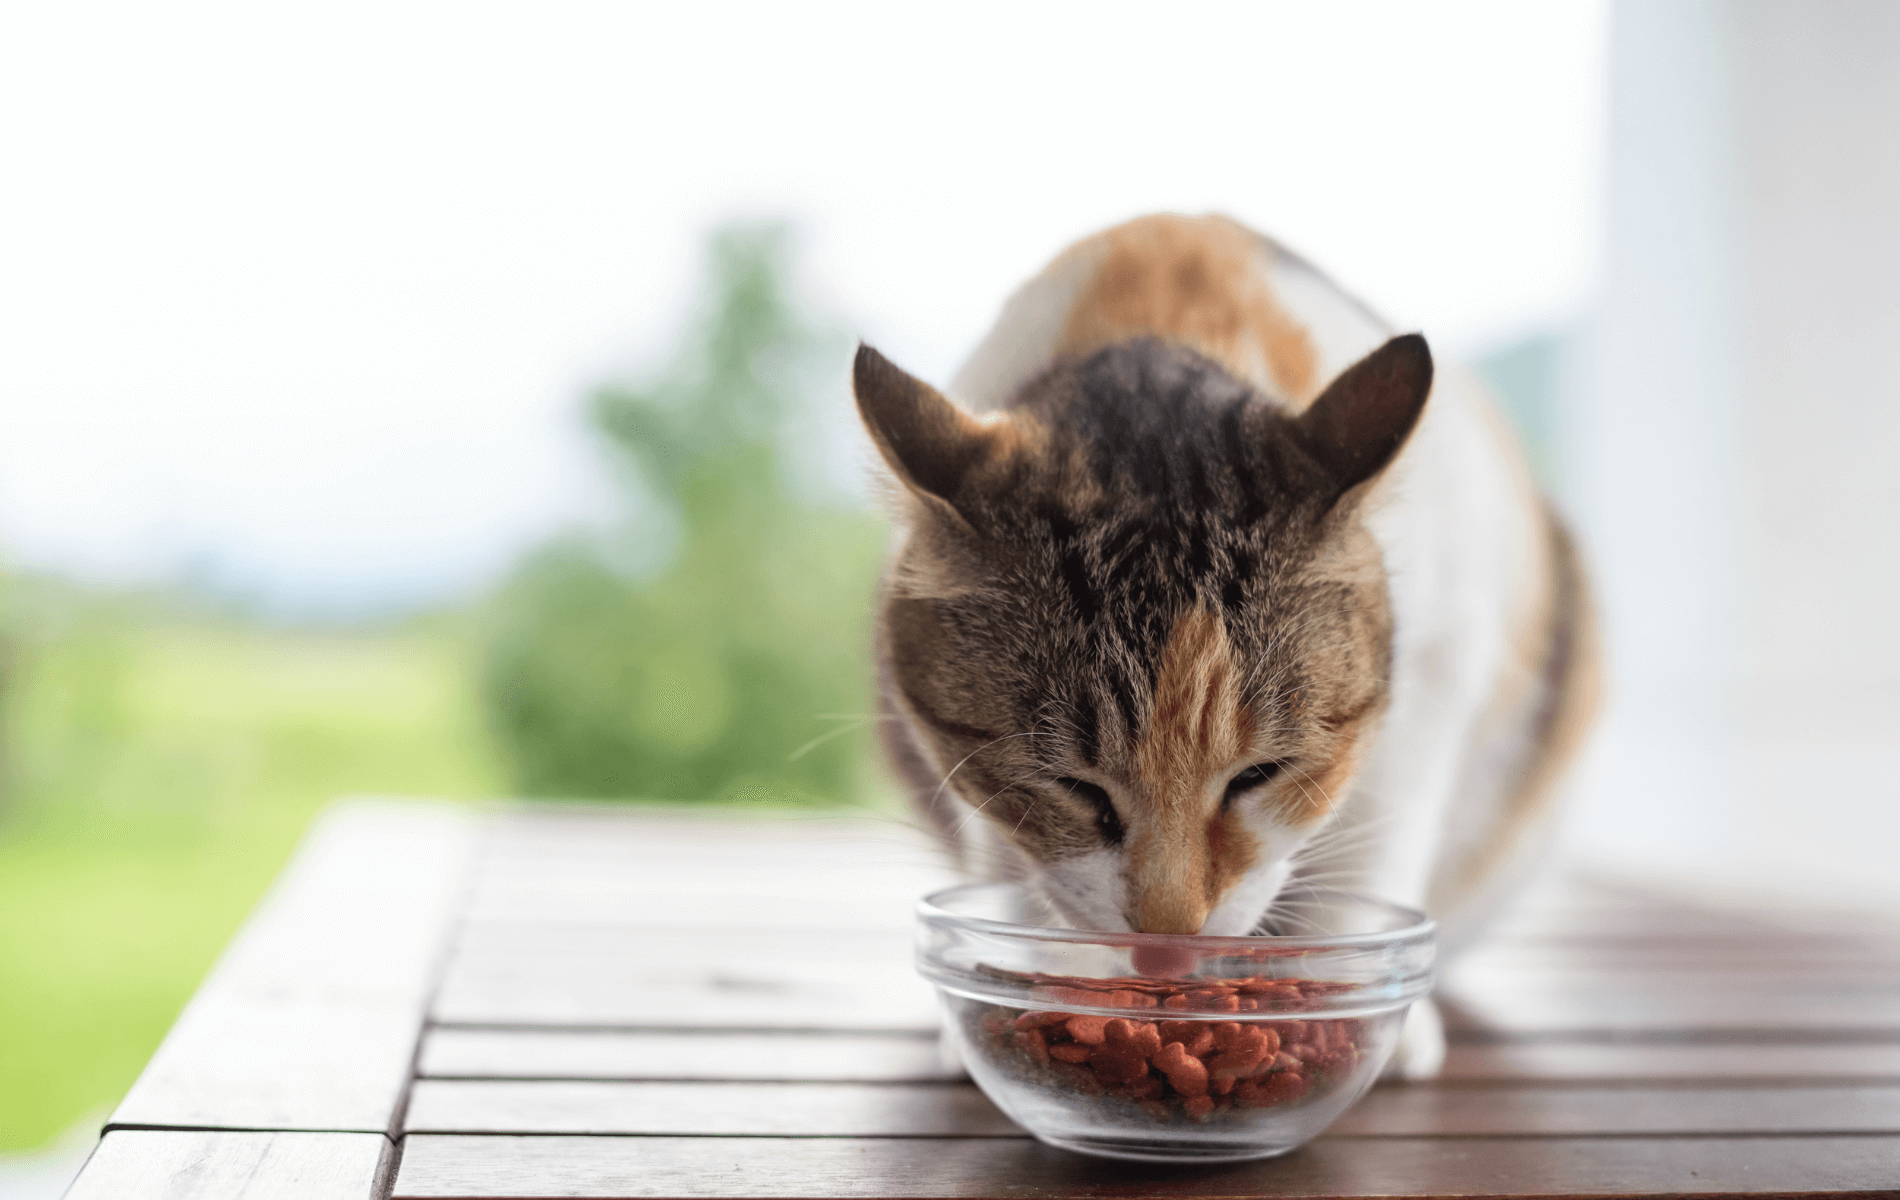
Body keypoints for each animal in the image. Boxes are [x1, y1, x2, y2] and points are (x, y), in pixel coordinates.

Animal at [855, 215, 1596, 1078]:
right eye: (1073, 787)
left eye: (1260, 775)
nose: (1167, 947)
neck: (1165, 301)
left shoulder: (1440, 665)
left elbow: (1377, 845)